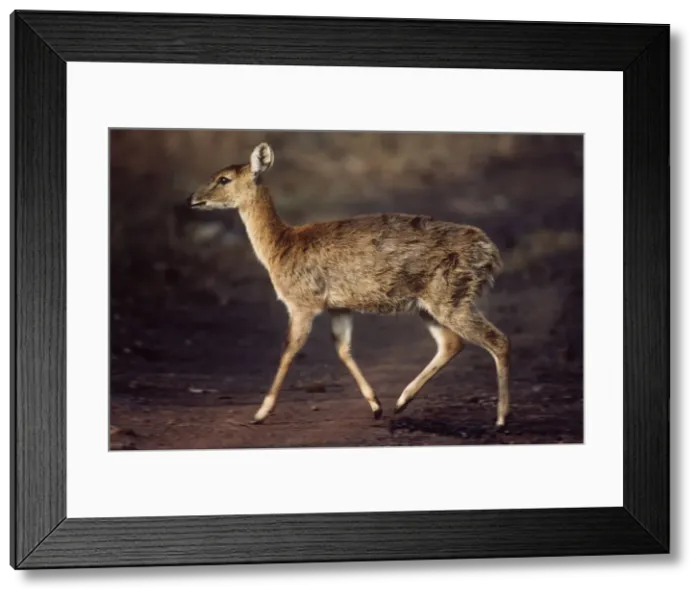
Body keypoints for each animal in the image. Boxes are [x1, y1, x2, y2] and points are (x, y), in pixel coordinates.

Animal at [187, 142, 510, 428]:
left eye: (224, 179)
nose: (193, 198)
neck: (281, 246)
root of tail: (491, 252)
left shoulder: (302, 302)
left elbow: (290, 347)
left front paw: (260, 413)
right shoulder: (338, 307)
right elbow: (342, 347)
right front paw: (376, 406)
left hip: (451, 297)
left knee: (497, 340)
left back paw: (501, 418)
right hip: (429, 305)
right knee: (451, 343)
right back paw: (401, 402)